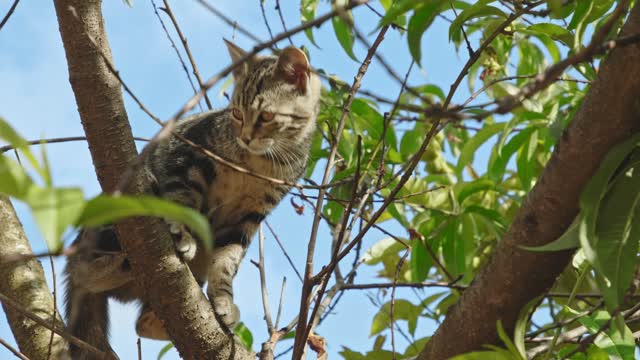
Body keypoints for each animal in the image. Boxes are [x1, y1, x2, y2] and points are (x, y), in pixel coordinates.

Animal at [64, 40, 322, 358]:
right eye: (236, 113)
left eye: (266, 116)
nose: (246, 137)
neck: (258, 164)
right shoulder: (187, 157)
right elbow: (183, 202)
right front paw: (183, 234)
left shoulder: (249, 216)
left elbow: (228, 262)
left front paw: (223, 300)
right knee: (80, 272)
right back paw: (117, 262)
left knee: (142, 322)